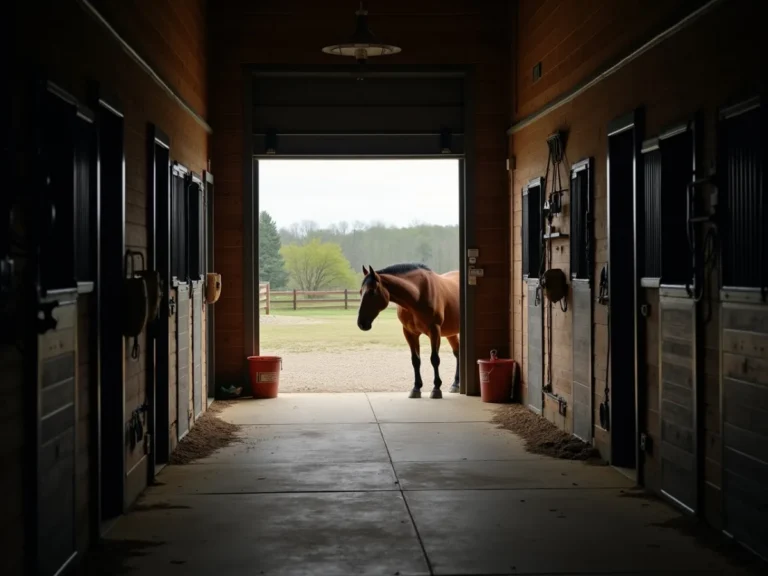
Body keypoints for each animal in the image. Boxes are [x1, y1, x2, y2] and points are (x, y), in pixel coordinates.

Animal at [357, 263, 461, 399]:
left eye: (372, 292)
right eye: (360, 292)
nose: (361, 323)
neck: (418, 294)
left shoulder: (434, 330)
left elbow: (434, 359)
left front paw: (436, 389)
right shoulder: (410, 333)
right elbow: (415, 360)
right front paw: (416, 388)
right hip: (451, 333)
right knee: (458, 353)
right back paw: (456, 384)